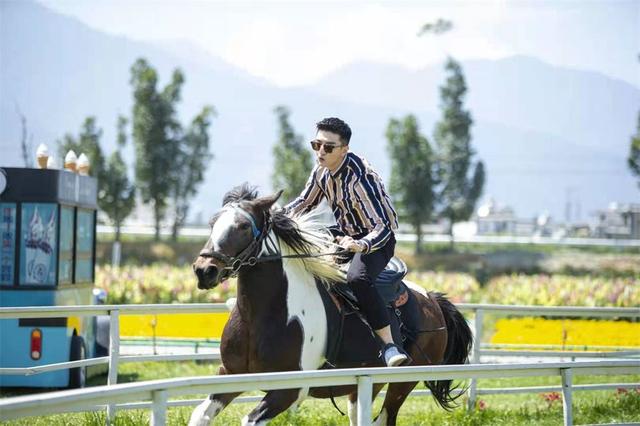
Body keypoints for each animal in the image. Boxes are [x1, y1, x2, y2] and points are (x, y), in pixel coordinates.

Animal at [188, 185, 472, 426]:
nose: (204, 270)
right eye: (213, 223)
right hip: (366, 385)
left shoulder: (290, 390)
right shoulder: (230, 374)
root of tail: (432, 300)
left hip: (402, 383)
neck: (260, 318)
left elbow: (249, 419)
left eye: (244, 226)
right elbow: (200, 415)